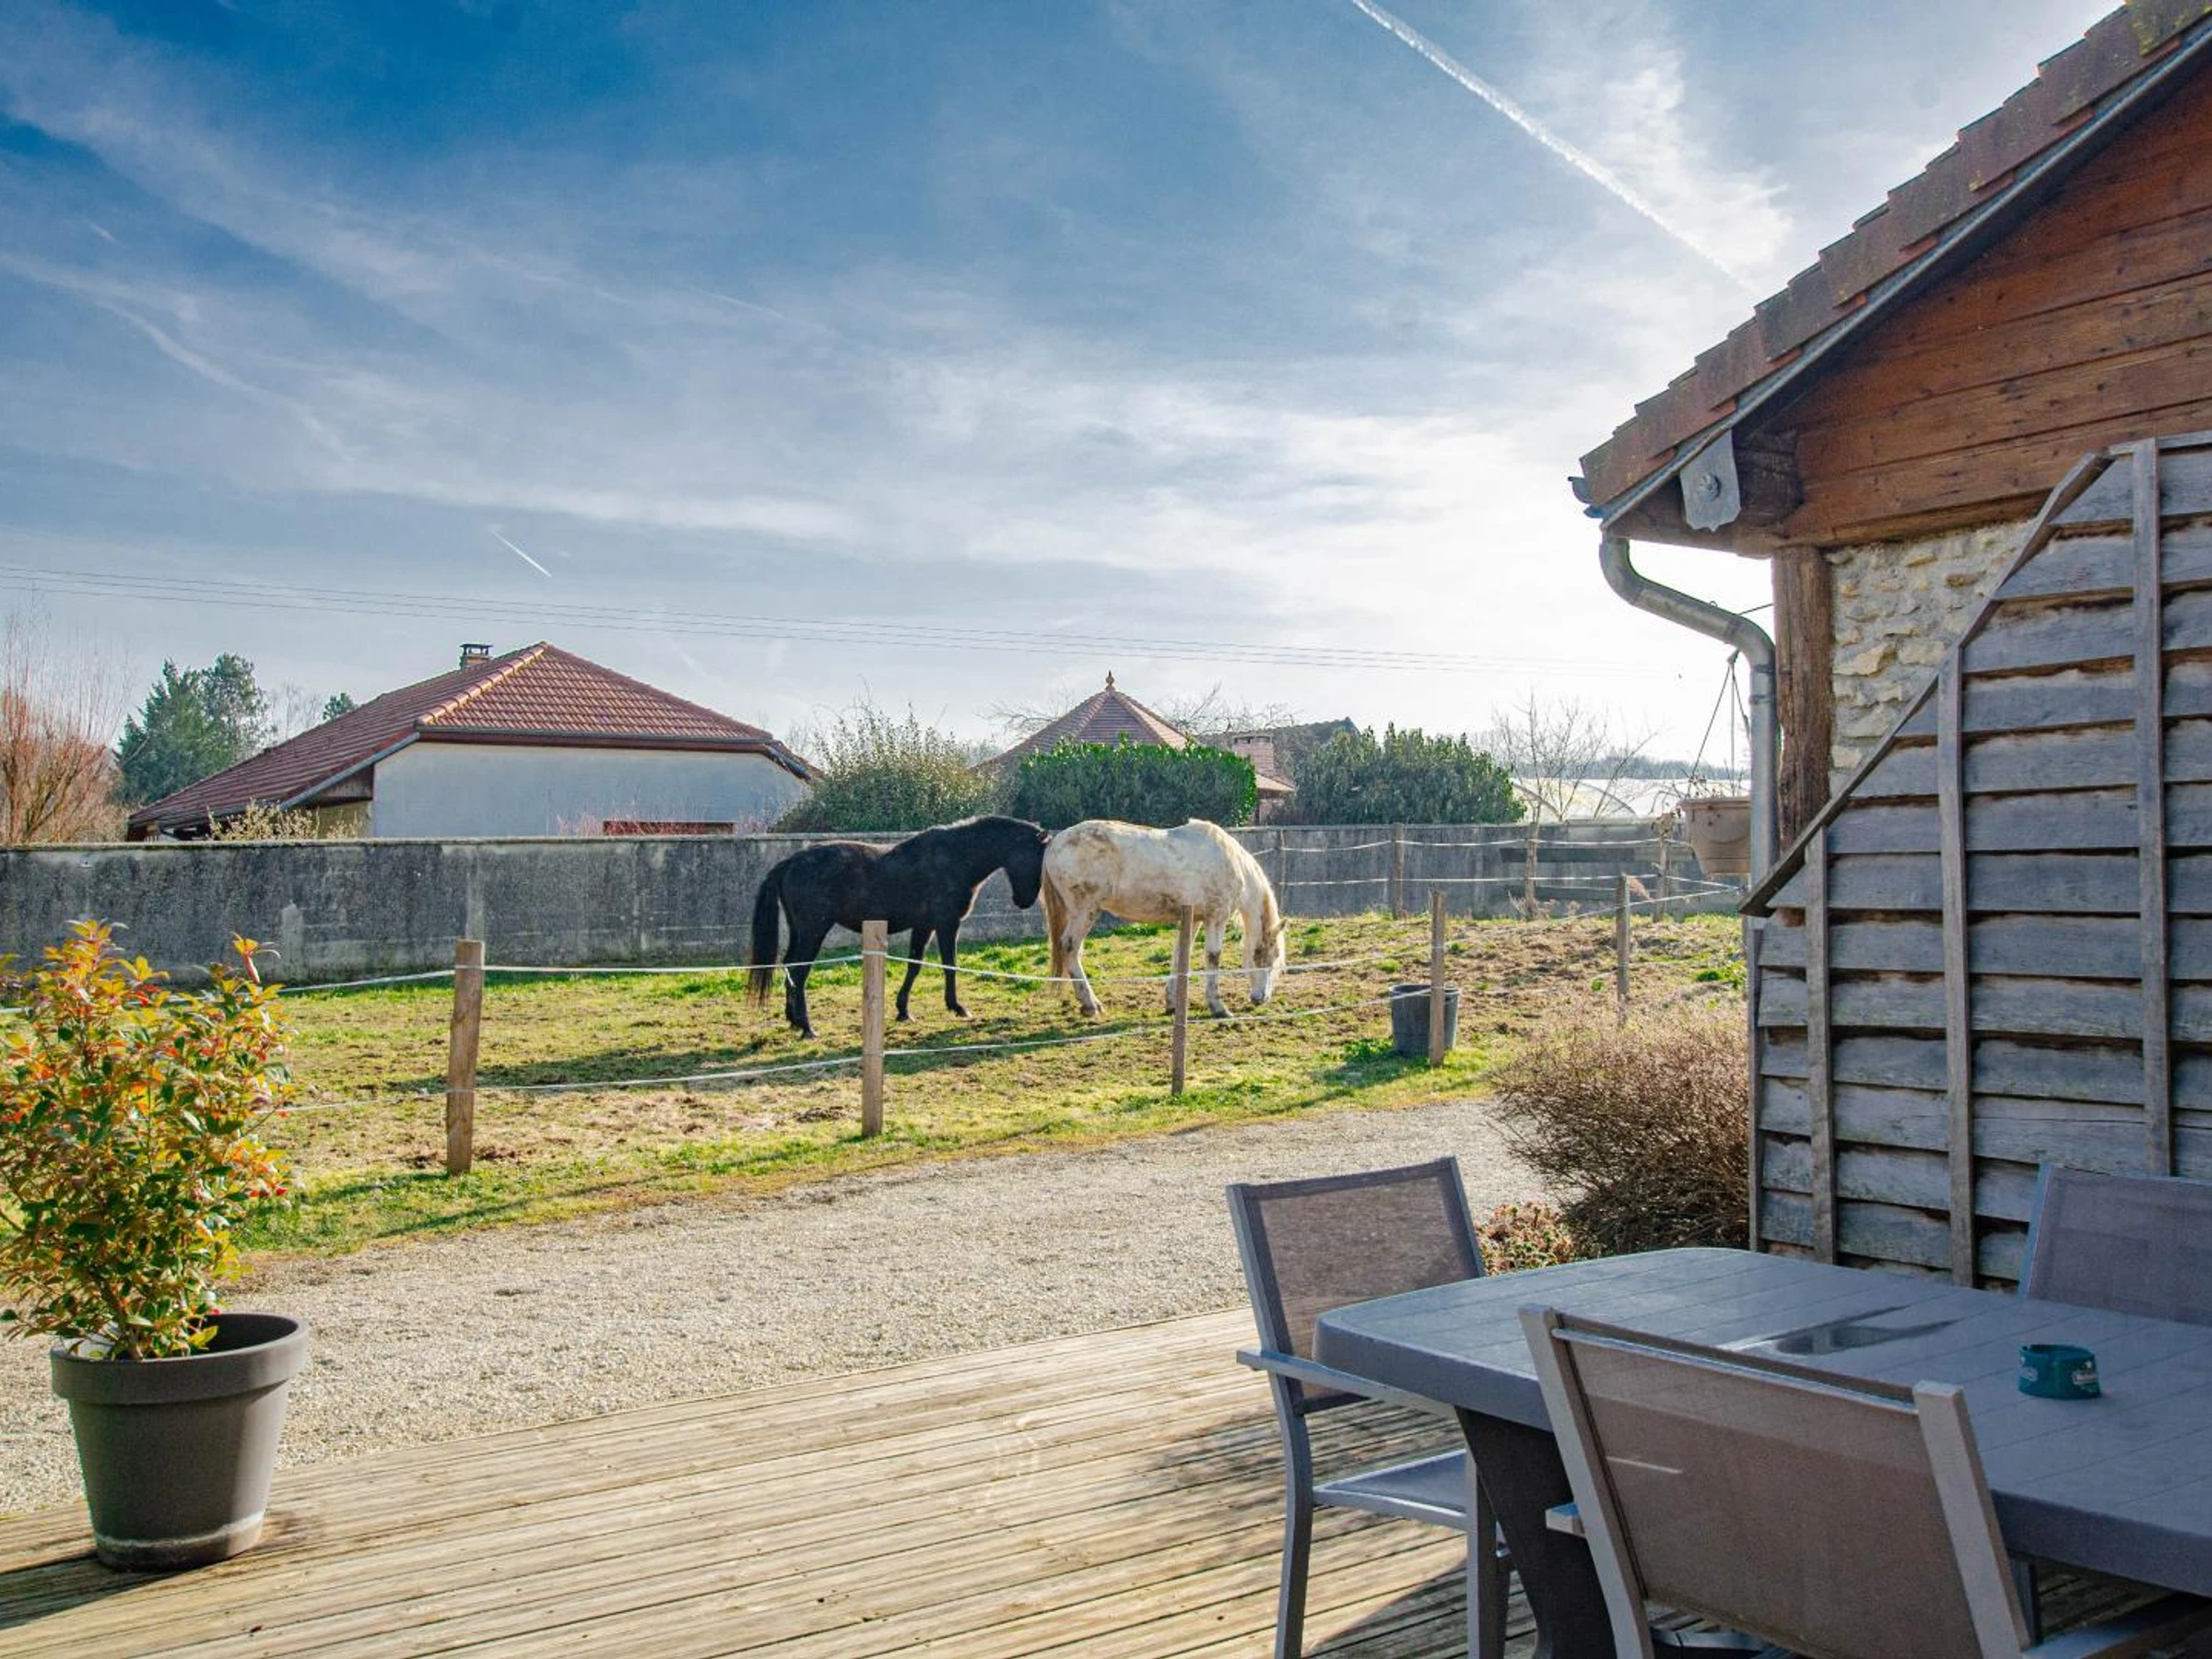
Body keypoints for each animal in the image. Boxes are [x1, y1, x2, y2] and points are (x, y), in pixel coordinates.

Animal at [748, 815, 1049, 1038]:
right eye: (1035, 857)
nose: (1024, 901)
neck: (956, 857)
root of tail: (791, 862)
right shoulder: (946, 924)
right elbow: (949, 964)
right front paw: (957, 1007)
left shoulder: (924, 926)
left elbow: (914, 965)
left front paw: (903, 1010)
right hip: (813, 931)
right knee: (799, 972)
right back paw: (807, 1027)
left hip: (800, 931)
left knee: (789, 967)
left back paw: (793, 1020)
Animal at [1040, 819, 1285, 1019]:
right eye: (1269, 957)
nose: (1260, 998)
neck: (1231, 862)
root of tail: (1054, 844)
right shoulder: (1216, 918)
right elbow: (1213, 957)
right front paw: (1218, 1007)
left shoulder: (1193, 919)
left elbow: (1180, 954)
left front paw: (1172, 1003)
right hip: (1085, 911)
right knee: (1070, 947)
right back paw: (1091, 1004)